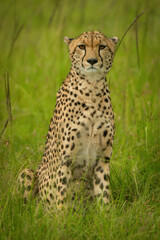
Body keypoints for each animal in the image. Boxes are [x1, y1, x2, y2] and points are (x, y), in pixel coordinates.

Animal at [18, 31, 119, 209]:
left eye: (102, 46)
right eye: (81, 46)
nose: (92, 61)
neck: (92, 87)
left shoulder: (103, 159)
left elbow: (103, 192)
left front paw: (106, 214)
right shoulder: (66, 160)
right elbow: (61, 194)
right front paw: (61, 215)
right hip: (27, 173)